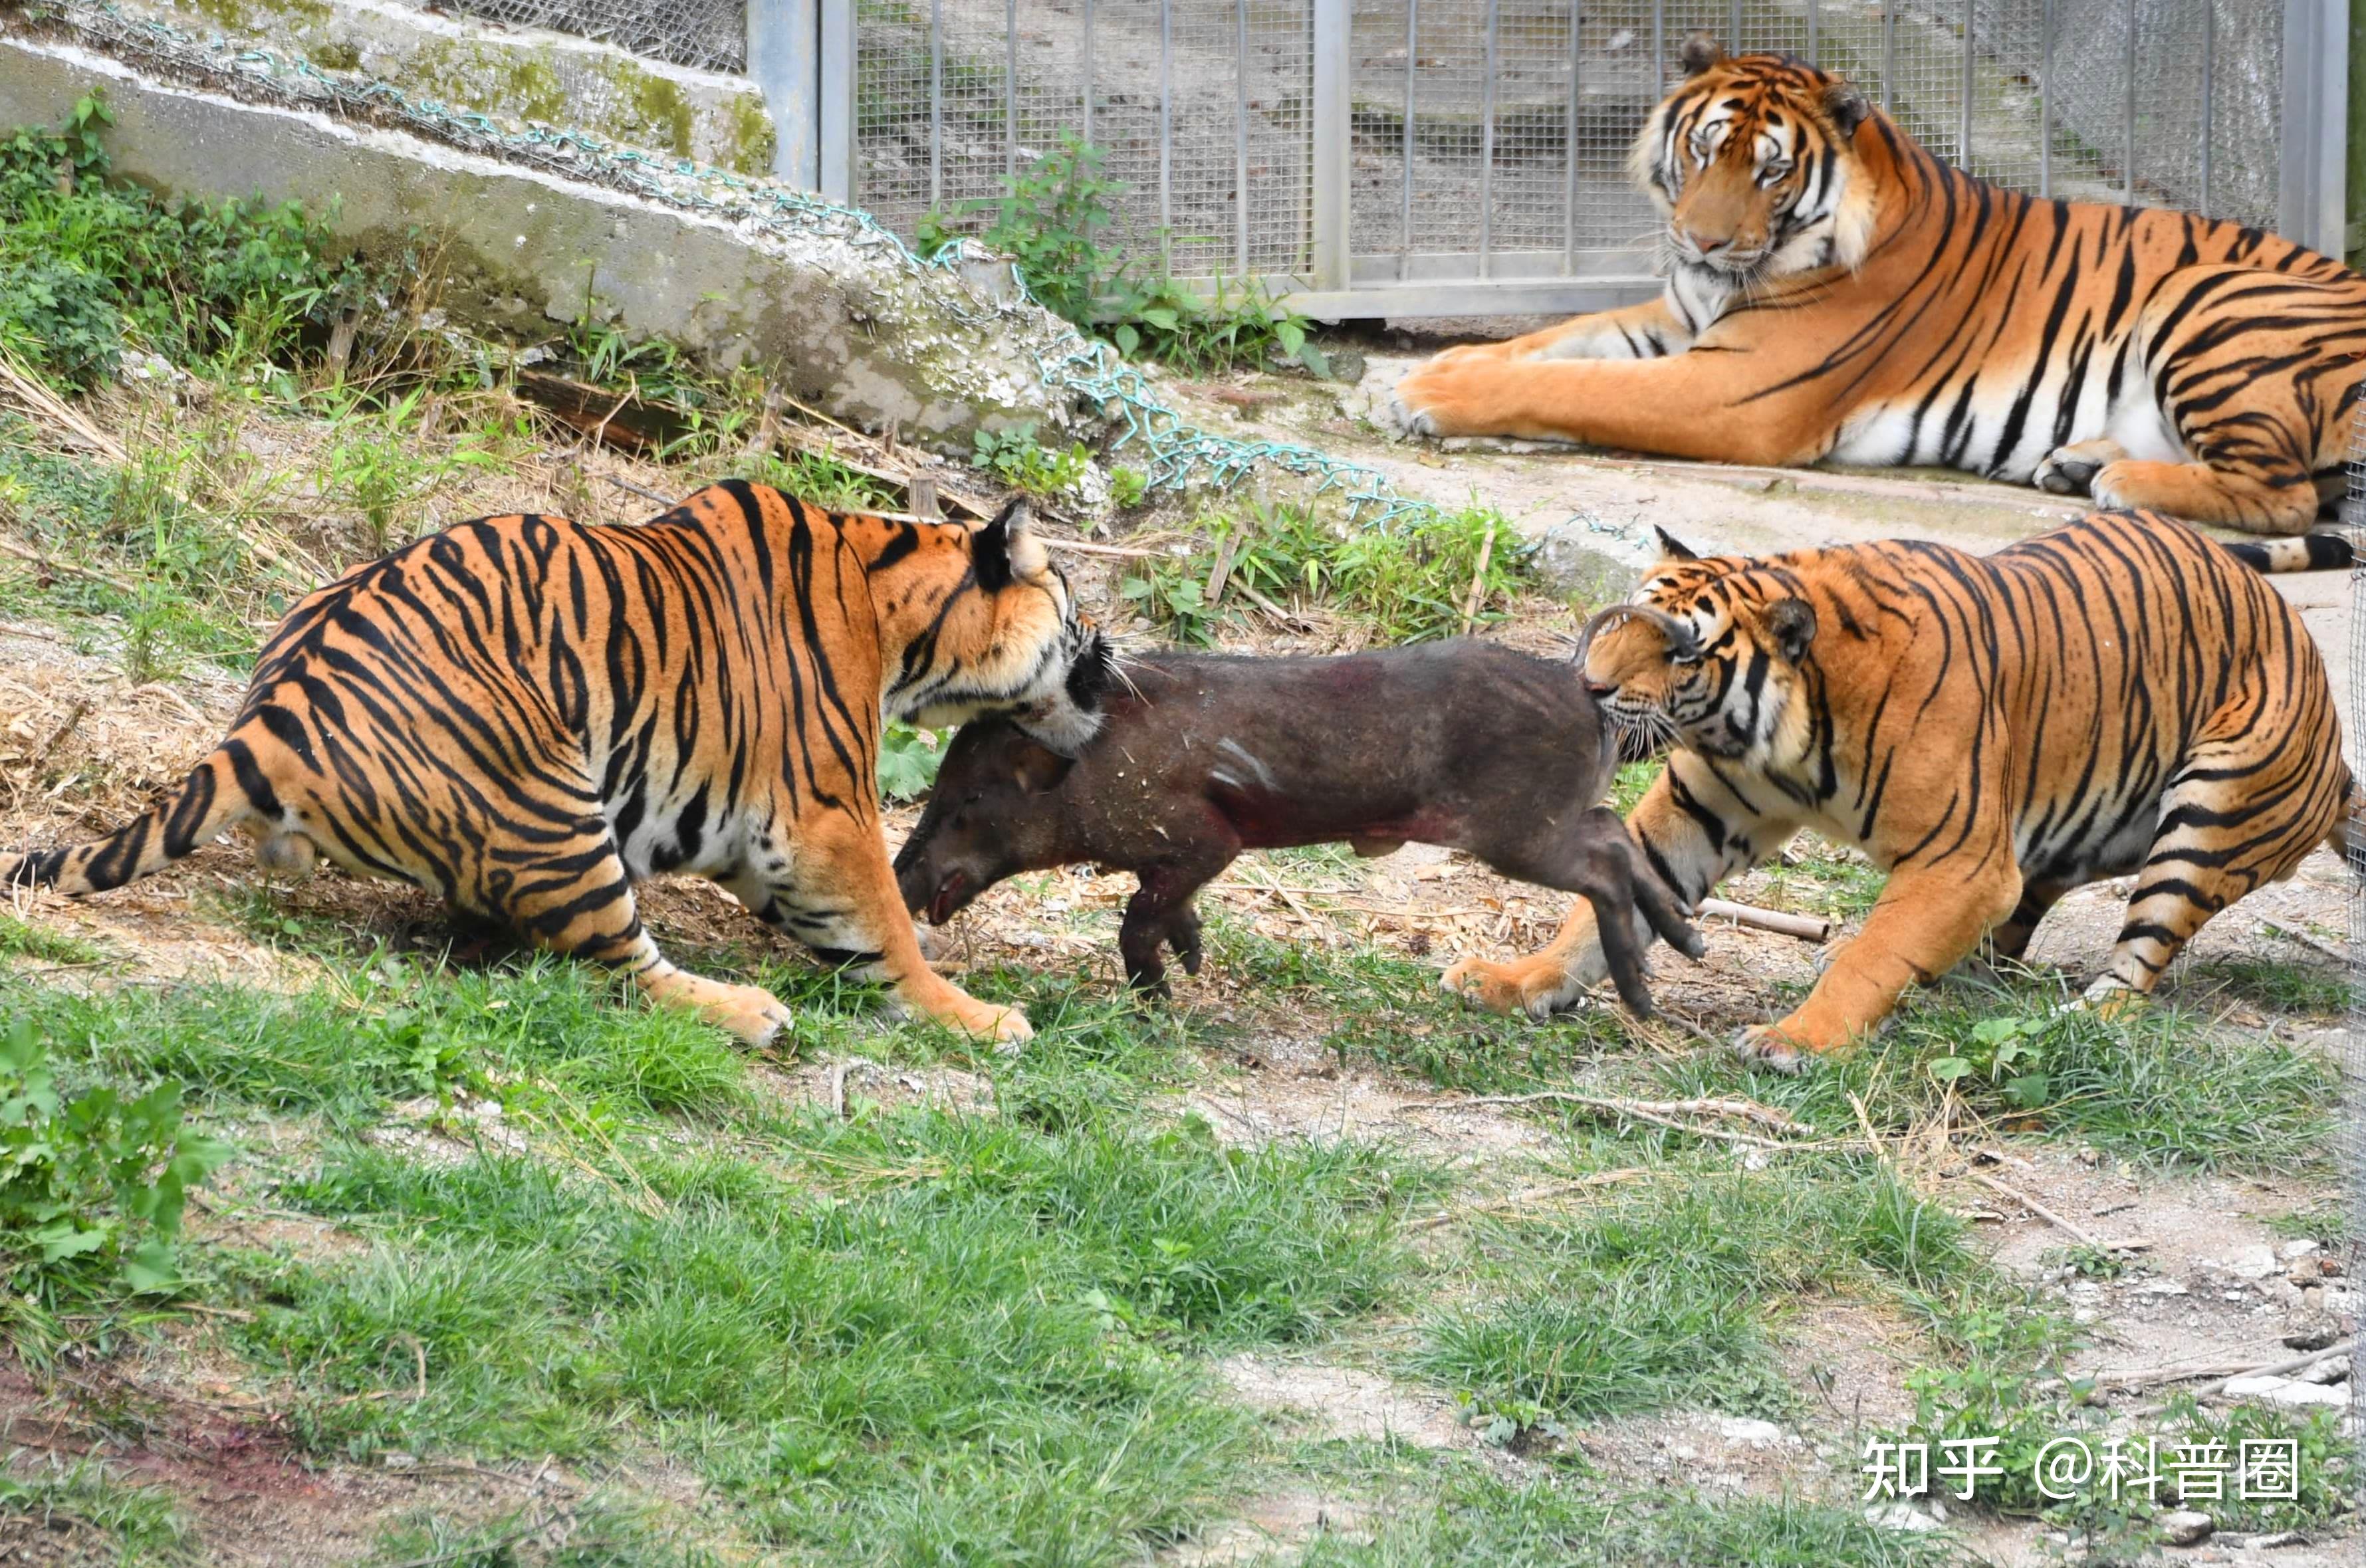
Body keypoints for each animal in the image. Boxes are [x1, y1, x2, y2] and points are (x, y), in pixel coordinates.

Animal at [2, 482, 1109, 1047]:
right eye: (1072, 604)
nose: (1108, 649)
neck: (901, 620)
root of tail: (270, 710)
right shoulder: (824, 811)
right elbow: (886, 929)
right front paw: (978, 1014)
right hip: (552, 794)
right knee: (615, 961)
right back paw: (747, 1012)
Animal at [1388, 34, 2366, 539]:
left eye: (1770, 170)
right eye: (1702, 149)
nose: (1701, 239)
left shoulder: (1733, 386)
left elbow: (1573, 384)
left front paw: (1425, 393)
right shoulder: (1677, 320)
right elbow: (1546, 344)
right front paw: (1418, 371)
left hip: (2210, 300)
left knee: (2285, 493)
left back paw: (2119, 482)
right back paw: (2076, 459)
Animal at [1441, 510, 2353, 1070]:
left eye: (1682, 652)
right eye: (1622, 620)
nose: (1586, 688)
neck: (1773, 738)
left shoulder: (1963, 859)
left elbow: (1871, 954)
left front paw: (1797, 1039)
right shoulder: (1695, 812)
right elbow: (1596, 910)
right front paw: (1515, 980)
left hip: (2212, 804)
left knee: (2140, 955)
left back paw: (2081, 1021)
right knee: (2011, 931)